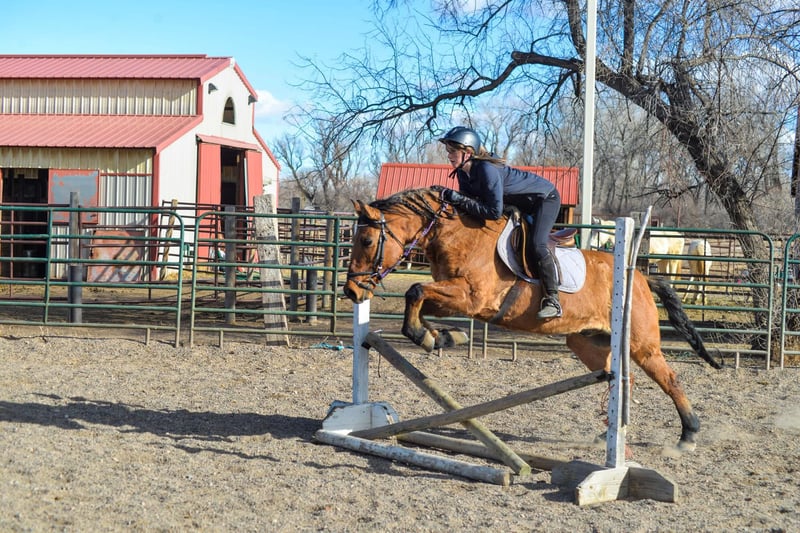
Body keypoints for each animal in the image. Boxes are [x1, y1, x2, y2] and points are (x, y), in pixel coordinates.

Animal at [343, 188, 722, 451]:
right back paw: (609, 433)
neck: (458, 235)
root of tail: (641, 277)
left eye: (367, 240)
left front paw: (430, 336)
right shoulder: (457, 299)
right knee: (618, 381)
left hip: (641, 344)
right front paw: (441, 337)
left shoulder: (472, 297)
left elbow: (415, 291)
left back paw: (688, 435)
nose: (352, 292)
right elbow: (419, 300)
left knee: (669, 379)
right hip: (590, 343)